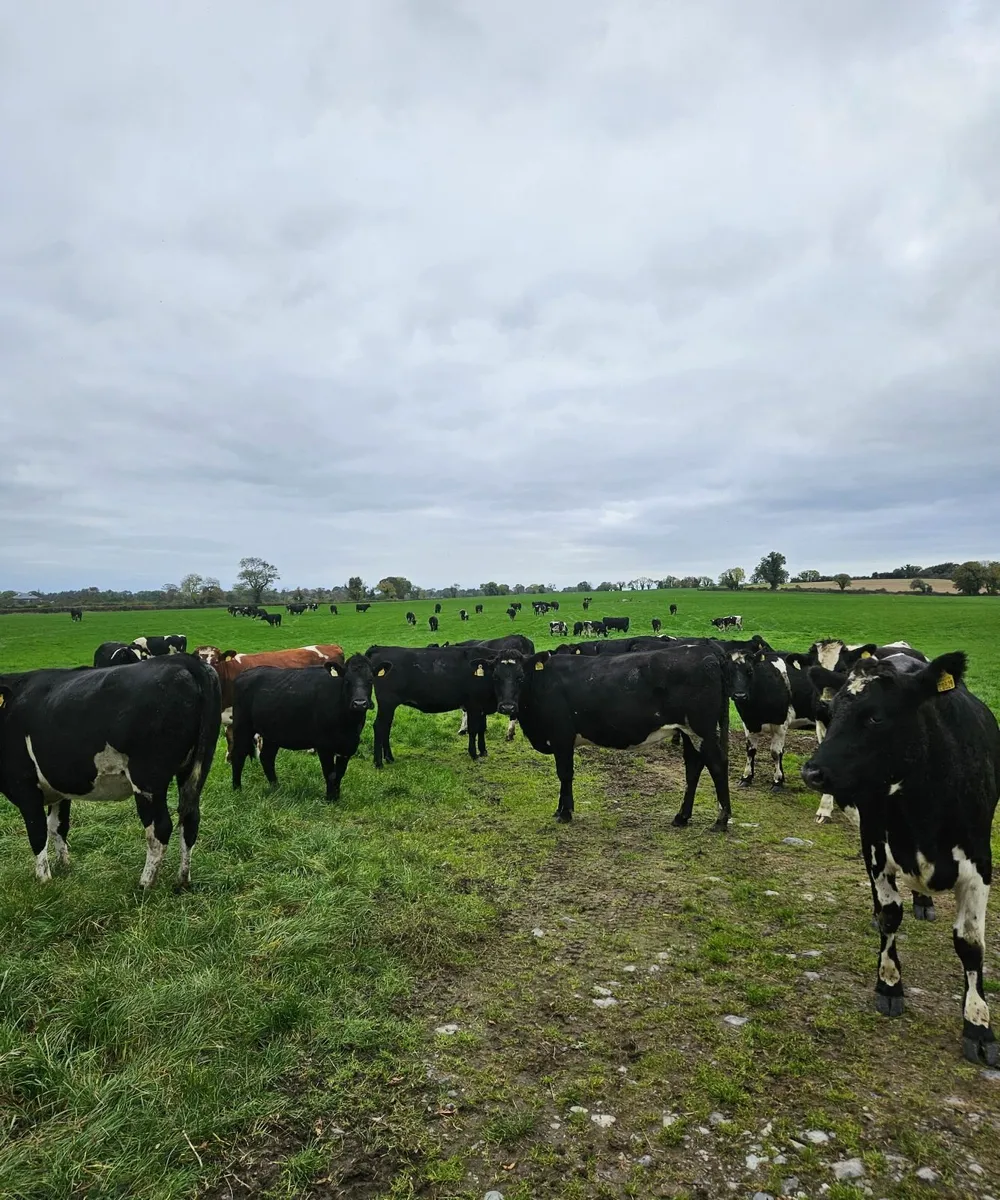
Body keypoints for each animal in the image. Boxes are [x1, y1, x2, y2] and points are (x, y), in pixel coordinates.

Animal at [0, 656, 220, 888]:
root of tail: (185, 661)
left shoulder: (24, 784)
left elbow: (37, 831)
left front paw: (44, 879)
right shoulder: (59, 787)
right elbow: (58, 826)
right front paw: (64, 866)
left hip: (148, 779)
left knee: (159, 828)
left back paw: (145, 883)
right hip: (194, 771)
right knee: (190, 819)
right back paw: (182, 880)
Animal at [230, 655, 383, 803]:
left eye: (370, 680)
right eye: (347, 681)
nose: (360, 703)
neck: (348, 724)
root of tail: (244, 674)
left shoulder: (347, 746)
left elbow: (339, 773)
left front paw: (337, 797)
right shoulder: (324, 745)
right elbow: (330, 773)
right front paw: (330, 799)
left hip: (272, 733)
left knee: (266, 757)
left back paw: (276, 788)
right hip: (242, 726)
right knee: (238, 755)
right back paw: (237, 789)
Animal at [364, 644, 501, 765]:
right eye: (498, 673)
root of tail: (380, 648)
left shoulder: (482, 706)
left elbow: (482, 728)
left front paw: (483, 751)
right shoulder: (473, 705)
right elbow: (473, 730)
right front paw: (474, 754)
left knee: (386, 727)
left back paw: (389, 758)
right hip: (387, 702)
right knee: (379, 726)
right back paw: (378, 763)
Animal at [480, 646, 730, 828]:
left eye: (520, 677)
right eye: (496, 677)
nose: (507, 706)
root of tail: (705, 651)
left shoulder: (562, 736)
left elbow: (565, 774)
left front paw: (565, 813)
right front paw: (560, 809)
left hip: (702, 729)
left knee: (717, 765)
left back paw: (721, 819)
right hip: (688, 732)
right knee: (693, 768)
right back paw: (681, 817)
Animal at [801, 651, 1000, 1066]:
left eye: (876, 717)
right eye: (833, 710)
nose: (812, 772)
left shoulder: (980, 864)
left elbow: (971, 943)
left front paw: (978, 1023)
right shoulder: (875, 846)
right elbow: (890, 915)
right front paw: (889, 984)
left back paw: (924, 902)